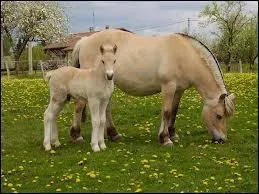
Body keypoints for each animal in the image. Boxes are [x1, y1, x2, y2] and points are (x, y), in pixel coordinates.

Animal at [69, 28, 236, 144]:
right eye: (219, 116)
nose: (222, 139)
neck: (184, 55)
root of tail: (84, 41)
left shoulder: (179, 90)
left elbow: (174, 111)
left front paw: (172, 134)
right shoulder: (168, 87)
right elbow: (166, 112)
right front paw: (165, 138)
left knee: (106, 108)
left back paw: (113, 134)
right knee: (79, 105)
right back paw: (77, 136)